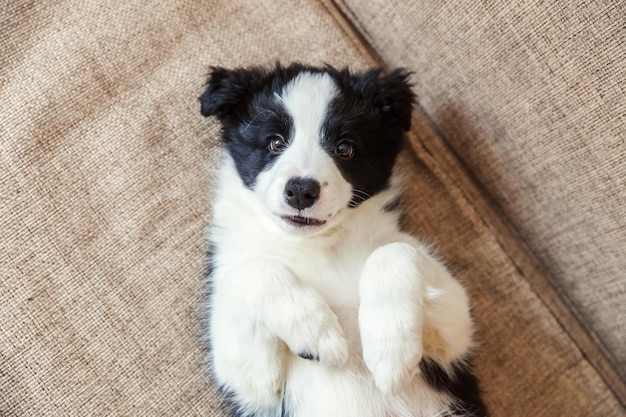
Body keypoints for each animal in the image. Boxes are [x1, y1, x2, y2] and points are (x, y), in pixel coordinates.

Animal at [197, 62, 486, 416]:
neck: (316, 245)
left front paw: (390, 349)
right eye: (275, 143)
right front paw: (317, 333)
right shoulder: (252, 385)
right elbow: (251, 270)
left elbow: (393, 251)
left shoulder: (453, 341)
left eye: (344, 148)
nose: (301, 190)